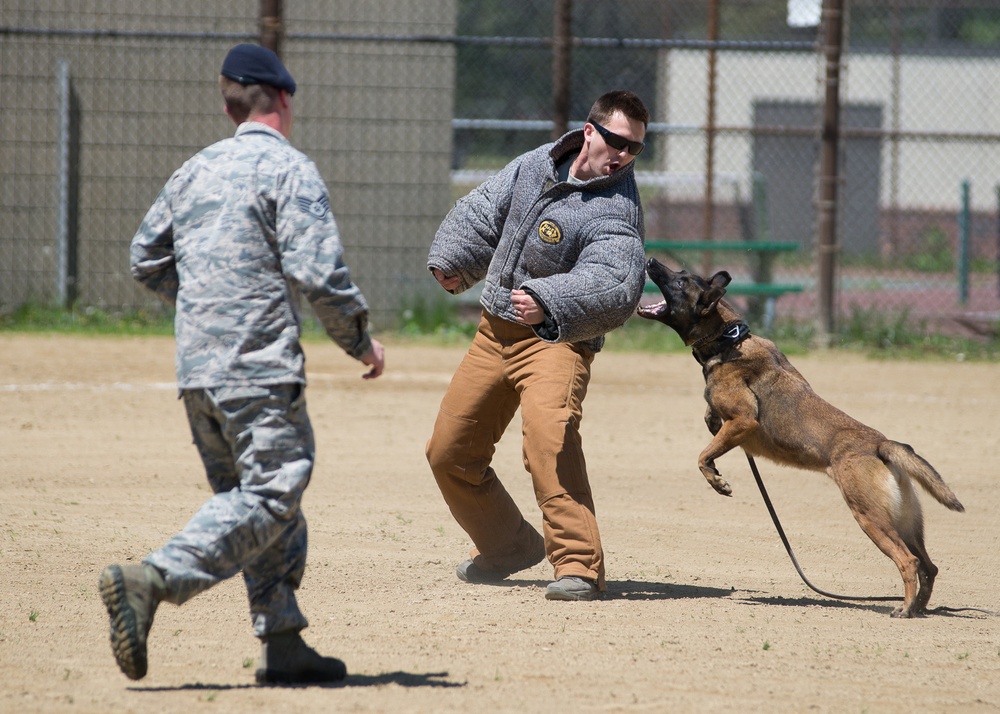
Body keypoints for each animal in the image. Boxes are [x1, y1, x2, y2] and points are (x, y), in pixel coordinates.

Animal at [636, 258, 964, 616]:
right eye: (680, 273)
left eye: (681, 282)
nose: (650, 261)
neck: (728, 338)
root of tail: (880, 444)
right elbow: (710, 424)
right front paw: (711, 425)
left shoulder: (744, 421)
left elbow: (702, 456)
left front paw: (717, 480)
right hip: (904, 521)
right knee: (929, 567)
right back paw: (918, 607)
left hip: (868, 516)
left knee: (908, 562)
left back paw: (904, 609)